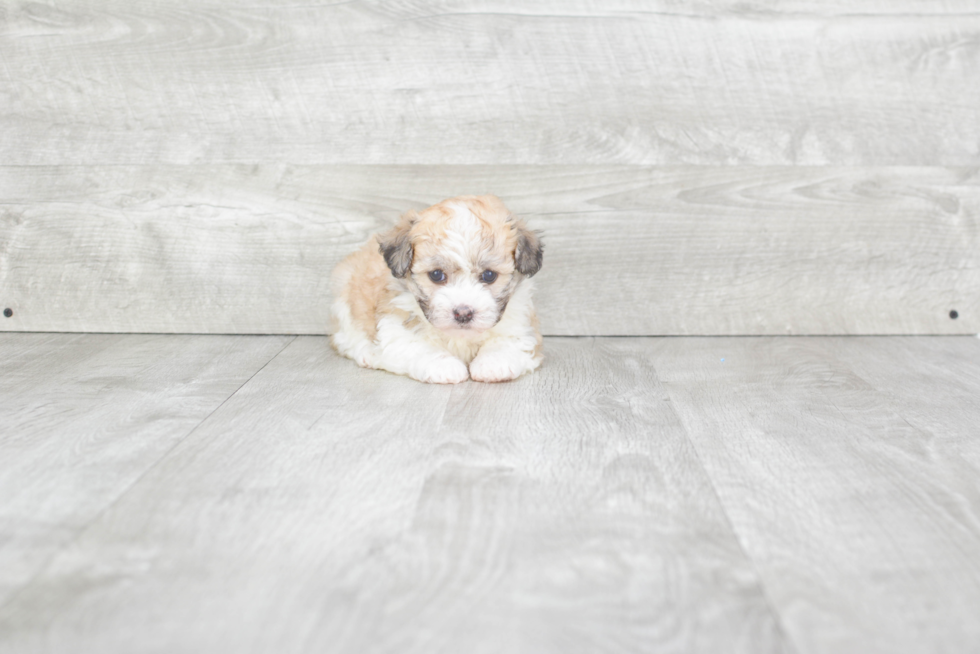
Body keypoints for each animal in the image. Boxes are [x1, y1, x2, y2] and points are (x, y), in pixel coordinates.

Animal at [330, 197, 544, 386]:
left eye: (489, 275)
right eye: (436, 275)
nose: (463, 313)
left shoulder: (521, 324)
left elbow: (506, 341)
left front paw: (493, 363)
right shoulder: (396, 324)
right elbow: (419, 346)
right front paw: (444, 365)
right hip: (344, 297)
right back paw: (366, 353)